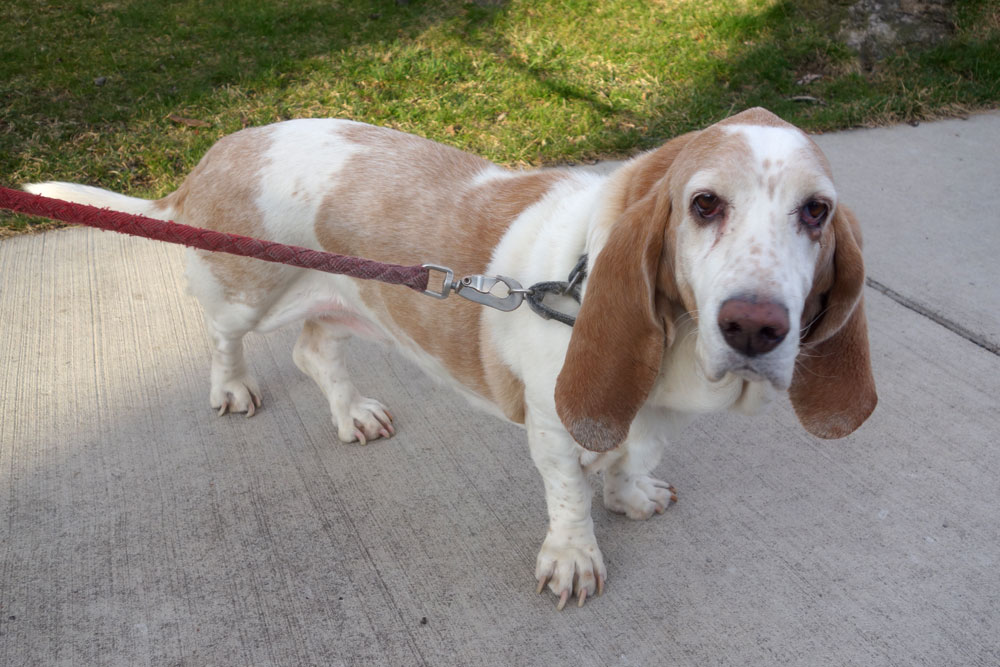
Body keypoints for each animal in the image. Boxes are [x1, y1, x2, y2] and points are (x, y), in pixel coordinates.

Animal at [26, 107, 877, 609]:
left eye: (816, 212)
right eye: (704, 205)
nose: (755, 327)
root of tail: (214, 155)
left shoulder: (642, 414)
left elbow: (633, 455)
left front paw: (631, 493)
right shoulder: (554, 424)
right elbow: (569, 493)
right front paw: (574, 557)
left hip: (345, 300)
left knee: (313, 350)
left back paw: (353, 413)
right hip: (242, 292)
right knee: (224, 333)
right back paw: (232, 387)